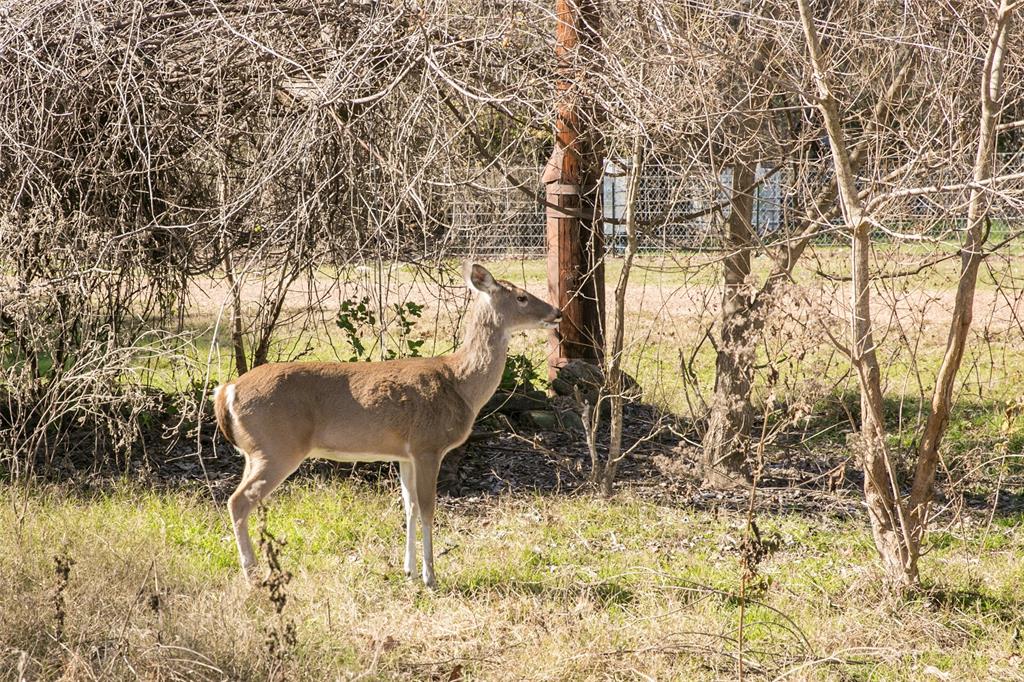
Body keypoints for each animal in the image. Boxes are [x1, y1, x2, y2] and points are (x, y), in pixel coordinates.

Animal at [209, 262, 561, 585]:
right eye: (522, 297)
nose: (557, 312)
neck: (460, 383)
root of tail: (227, 389)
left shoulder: (404, 454)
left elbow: (409, 507)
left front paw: (408, 571)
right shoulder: (428, 445)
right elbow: (428, 507)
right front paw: (430, 577)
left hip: (254, 451)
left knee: (241, 499)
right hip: (277, 446)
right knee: (237, 501)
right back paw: (254, 577)